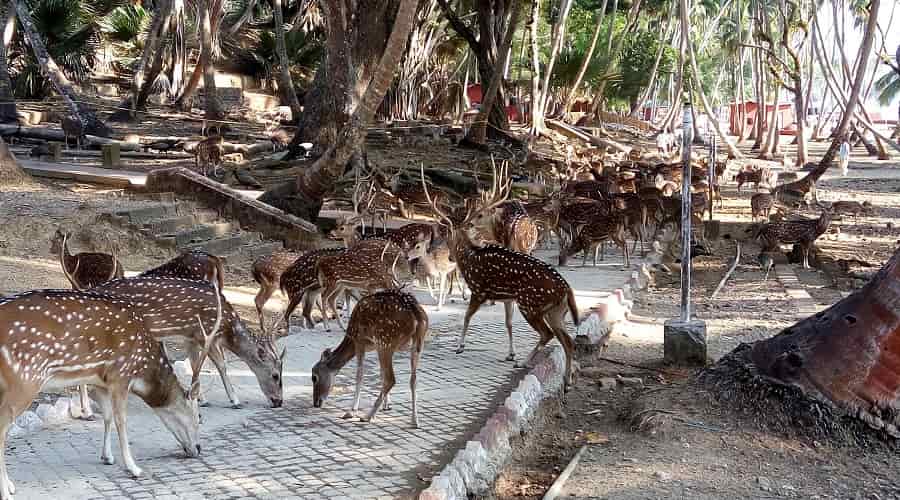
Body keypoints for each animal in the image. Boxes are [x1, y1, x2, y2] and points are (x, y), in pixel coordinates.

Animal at [0, 287, 221, 496]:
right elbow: (121, 420)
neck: (142, 368)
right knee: (2, 428)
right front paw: (134, 468)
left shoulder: (100, 381)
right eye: (198, 416)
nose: (198, 449)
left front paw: (107, 457)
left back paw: (10, 485)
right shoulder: (120, 376)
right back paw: (7, 490)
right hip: (24, 379)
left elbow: (106, 417)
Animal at [92, 274, 285, 408]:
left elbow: (194, 364)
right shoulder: (205, 332)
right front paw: (235, 400)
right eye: (275, 375)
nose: (279, 401)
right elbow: (221, 365)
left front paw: (202, 399)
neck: (226, 327)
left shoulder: (190, 337)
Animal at [311, 289, 429, 428]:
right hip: (417, 345)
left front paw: (351, 411)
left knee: (391, 379)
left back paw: (368, 416)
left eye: (314, 377)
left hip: (385, 342)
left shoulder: (360, 342)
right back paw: (415, 420)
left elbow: (360, 375)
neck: (350, 337)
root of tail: (417, 317)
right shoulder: (373, 347)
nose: (316, 402)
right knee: (413, 380)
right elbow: (381, 374)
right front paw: (387, 405)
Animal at [420, 162, 581, 391]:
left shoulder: (479, 289)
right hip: (556, 311)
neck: (468, 257)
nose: (450, 257)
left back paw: (525, 362)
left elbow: (467, 316)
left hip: (531, 304)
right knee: (567, 341)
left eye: (447, 238)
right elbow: (508, 322)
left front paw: (460, 346)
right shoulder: (506, 298)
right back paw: (566, 381)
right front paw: (510, 353)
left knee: (547, 334)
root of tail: (567, 290)